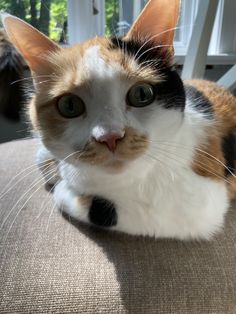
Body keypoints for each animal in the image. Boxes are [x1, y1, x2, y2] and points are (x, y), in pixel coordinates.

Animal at [2, 0, 236, 239]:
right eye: (69, 105)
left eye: (142, 94)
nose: (110, 137)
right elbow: (44, 158)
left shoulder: (198, 203)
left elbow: (99, 208)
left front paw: (64, 188)